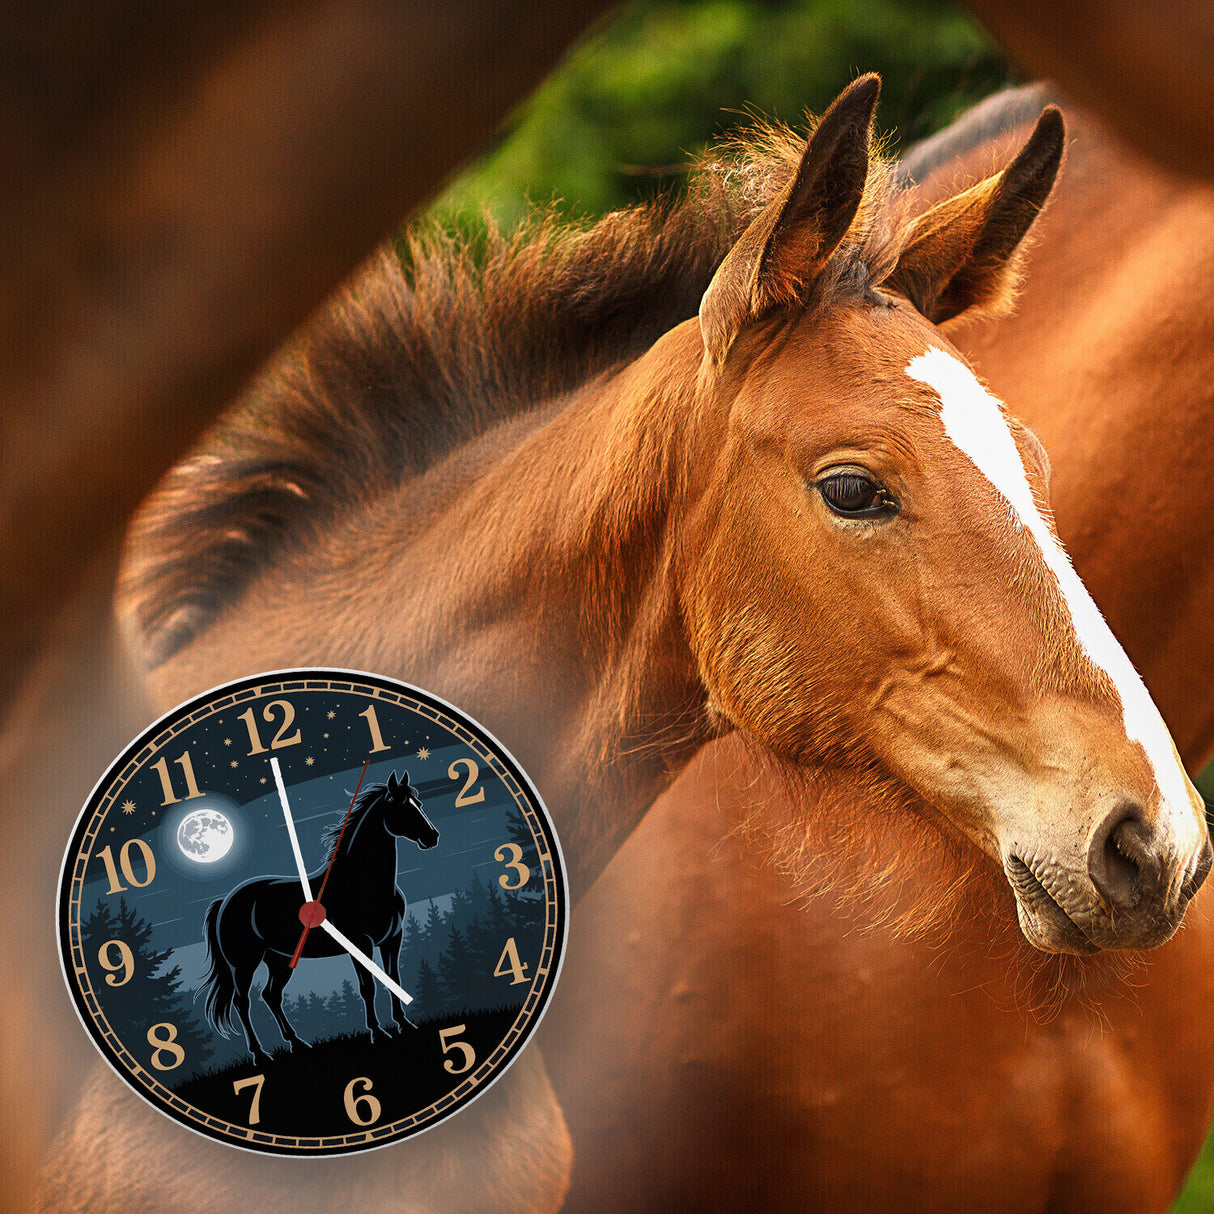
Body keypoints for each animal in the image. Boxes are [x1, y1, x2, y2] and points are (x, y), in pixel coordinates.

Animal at [199, 770, 437, 1065]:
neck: (364, 885)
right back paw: (261, 1055)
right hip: (244, 964)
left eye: (419, 803)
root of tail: (225, 902)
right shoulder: (360, 944)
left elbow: (394, 979)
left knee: (271, 995)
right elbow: (367, 987)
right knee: (243, 1003)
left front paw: (405, 1024)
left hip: (279, 959)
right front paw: (378, 1033)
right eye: (400, 806)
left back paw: (298, 1043)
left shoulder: (393, 939)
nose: (432, 836)